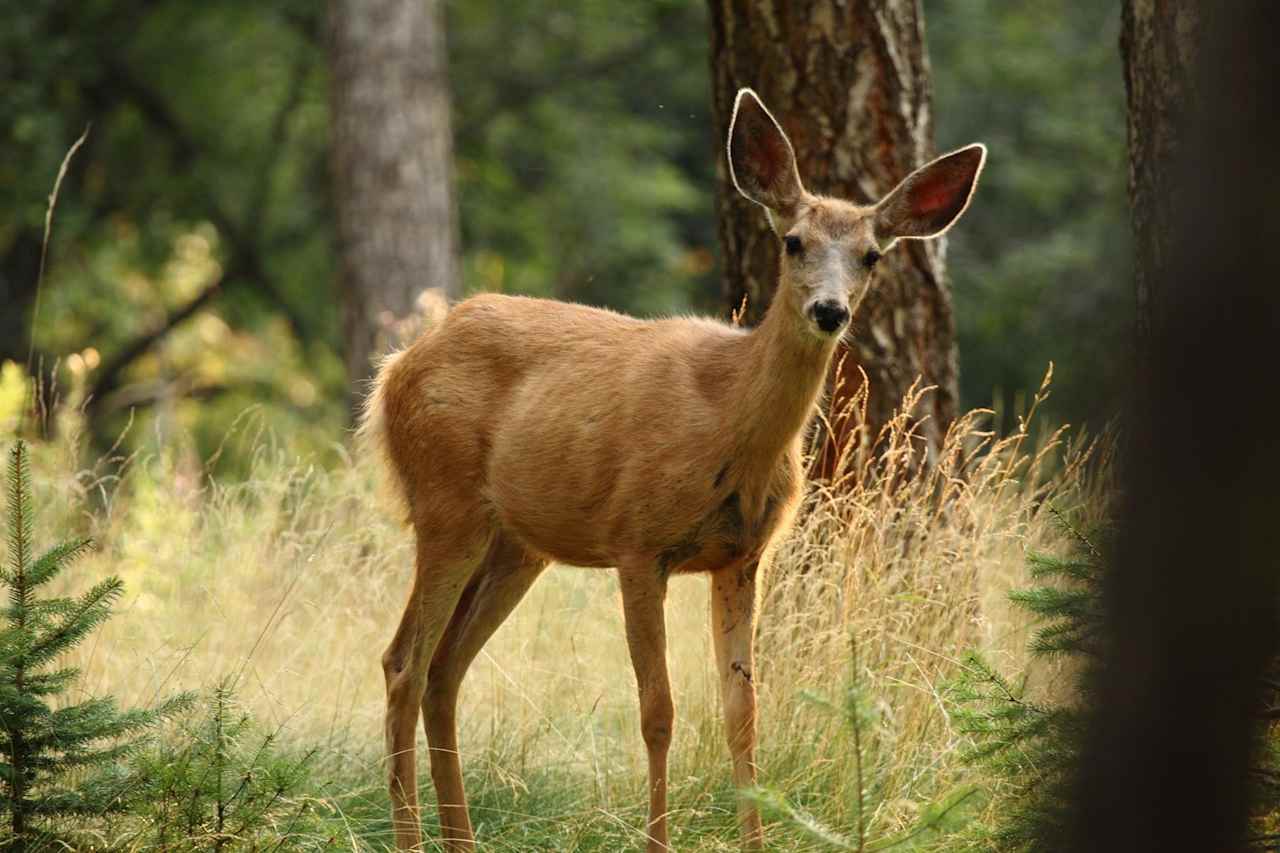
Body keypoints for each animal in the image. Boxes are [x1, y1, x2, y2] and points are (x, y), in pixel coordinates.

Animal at [363, 89, 988, 845]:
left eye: (870, 255)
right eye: (793, 241)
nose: (829, 310)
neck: (729, 421)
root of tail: (396, 366)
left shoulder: (743, 556)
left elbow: (743, 715)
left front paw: (756, 842)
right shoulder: (637, 542)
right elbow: (657, 711)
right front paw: (656, 840)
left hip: (516, 544)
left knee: (445, 668)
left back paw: (462, 839)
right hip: (445, 502)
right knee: (403, 661)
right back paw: (410, 837)